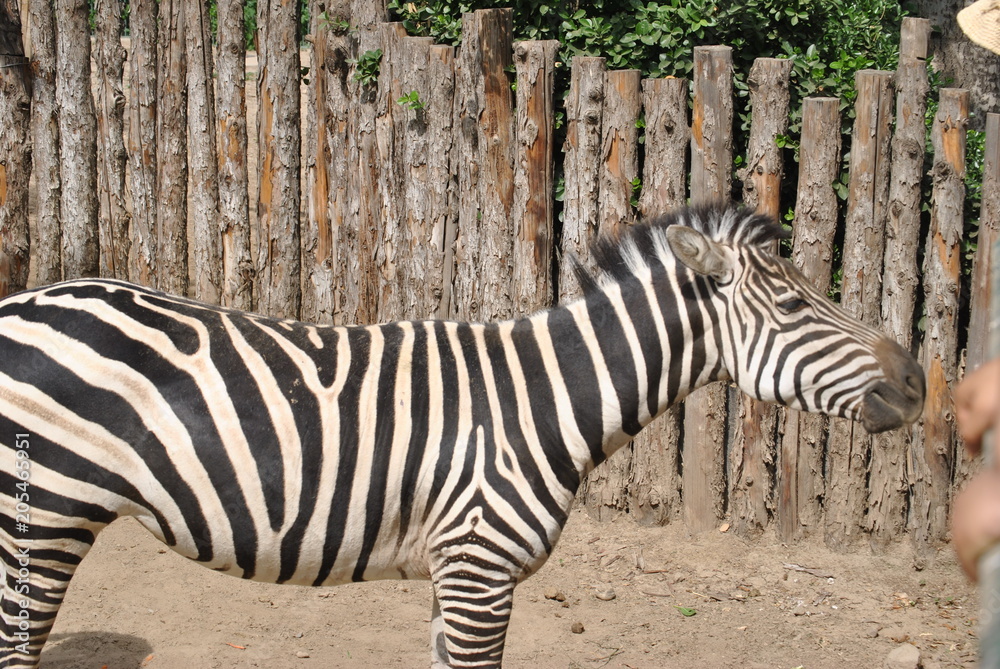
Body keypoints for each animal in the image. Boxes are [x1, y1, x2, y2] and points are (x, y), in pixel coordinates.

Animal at [0, 204, 920, 668]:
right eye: (796, 302)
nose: (916, 382)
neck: (541, 401)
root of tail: (24, 300)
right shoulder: (481, 568)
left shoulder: (456, 574)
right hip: (41, 516)